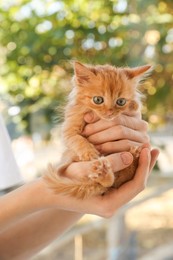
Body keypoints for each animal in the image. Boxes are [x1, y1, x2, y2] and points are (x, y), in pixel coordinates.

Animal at [43, 61, 151, 199]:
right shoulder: (69, 129)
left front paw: (134, 105)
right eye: (98, 100)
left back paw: (132, 155)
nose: (110, 112)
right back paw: (104, 173)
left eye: (121, 101)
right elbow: (77, 139)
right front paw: (89, 153)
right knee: (106, 184)